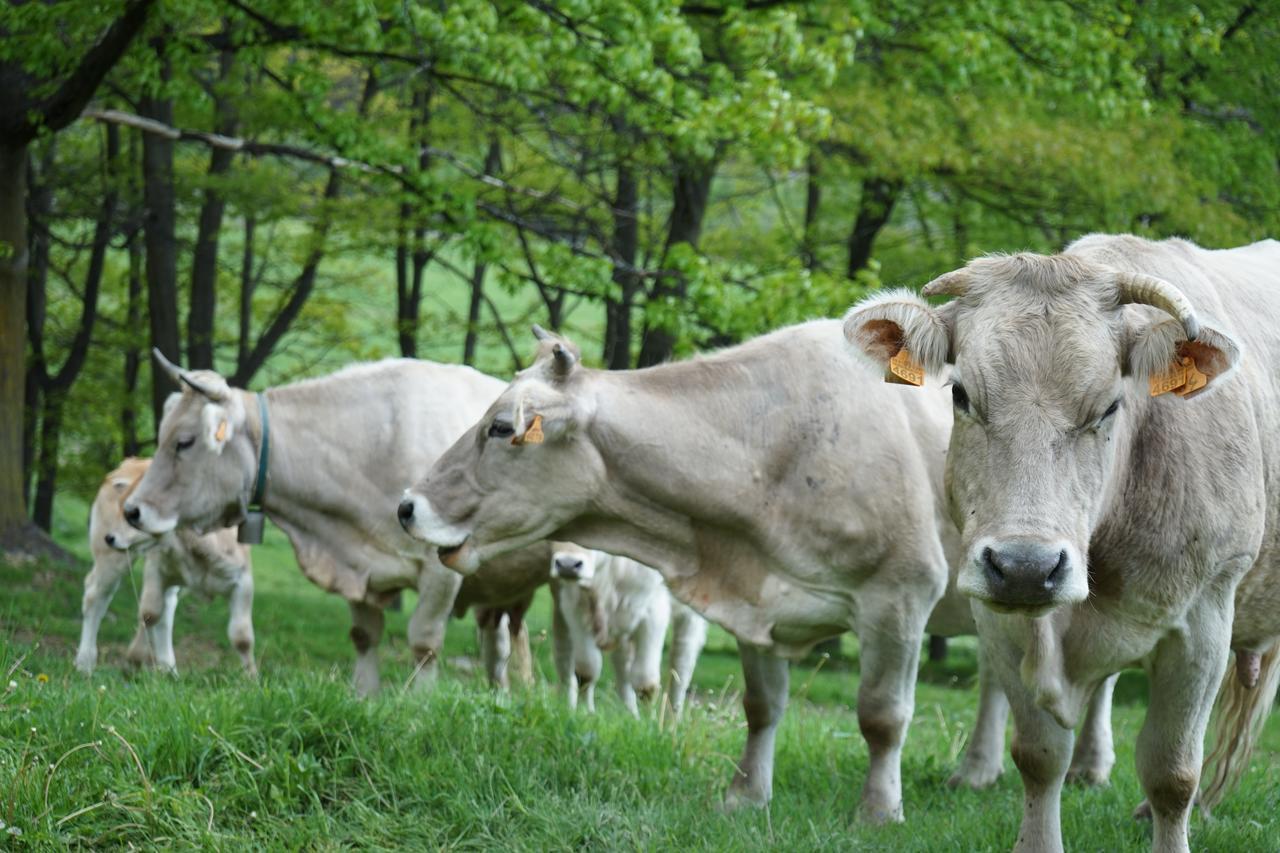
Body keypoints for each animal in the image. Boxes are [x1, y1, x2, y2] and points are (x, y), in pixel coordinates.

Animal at [550, 540, 711, 712]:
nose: (567, 564)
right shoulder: (573, 605)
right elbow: (586, 671)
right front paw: (585, 713)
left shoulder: (654, 611)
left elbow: (646, 683)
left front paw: (649, 719)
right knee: (622, 667)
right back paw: (630, 713)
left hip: (690, 616)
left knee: (681, 666)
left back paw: (671, 717)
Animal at [839, 234, 1280, 850]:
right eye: (961, 394)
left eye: (1111, 406)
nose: (1027, 565)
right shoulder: (1003, 622)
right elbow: (1039, 755)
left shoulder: (1204, 621)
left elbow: (1172, 773)